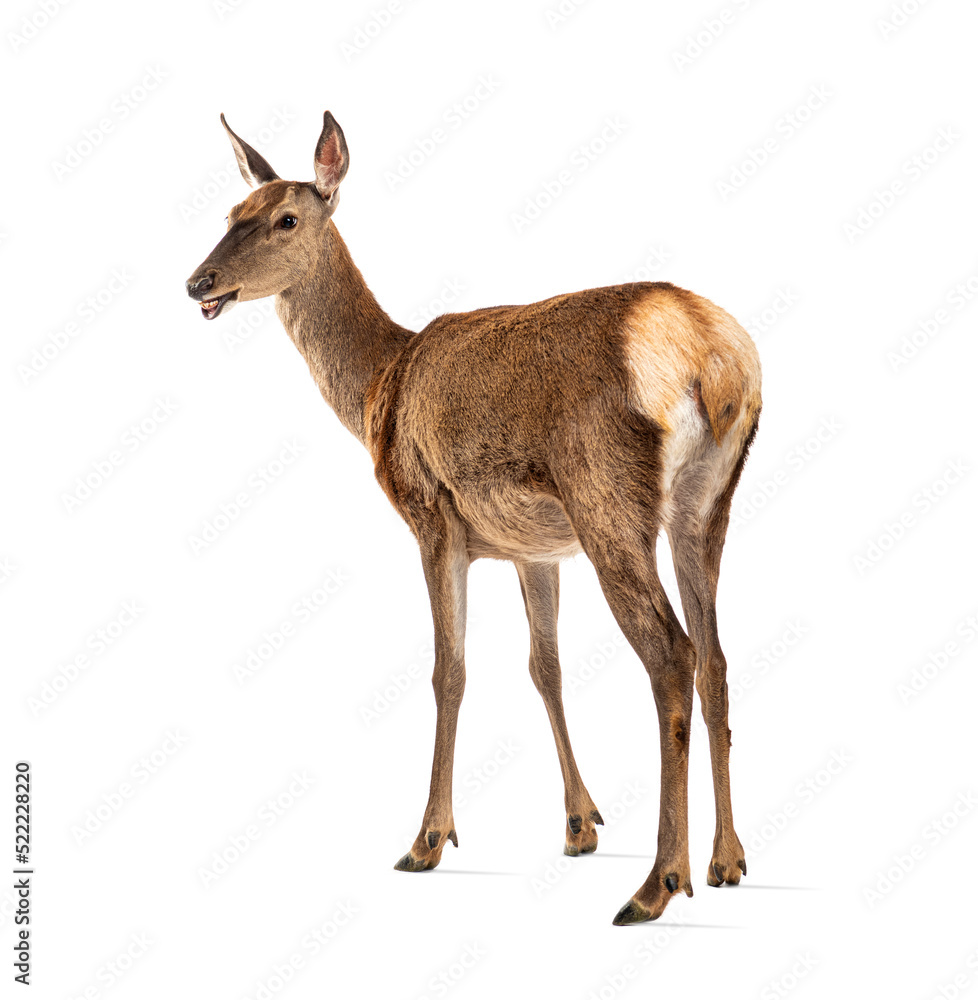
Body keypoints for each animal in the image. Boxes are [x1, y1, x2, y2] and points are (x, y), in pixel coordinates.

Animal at [185, 111, 762, 925]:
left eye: (285, 218)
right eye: (231, 212)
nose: (197, 282)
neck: (379, 389)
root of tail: (716, 363)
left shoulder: (432, 517)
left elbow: (448, 669)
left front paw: (427, 840)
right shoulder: (534, 548)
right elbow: (545, 666)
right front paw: (580, 824)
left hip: (608, 500)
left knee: (671, 656)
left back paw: (656, 884)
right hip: (709, 504)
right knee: (715, 656)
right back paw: (727, 860)